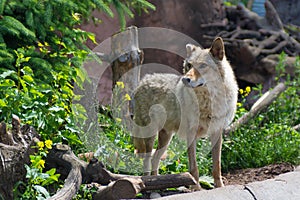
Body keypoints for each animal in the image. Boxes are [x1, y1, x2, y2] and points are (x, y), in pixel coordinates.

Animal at [132, 37, 238, 189]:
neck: (208, 102)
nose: (185, 79)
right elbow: (194, 167)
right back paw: (148, 182)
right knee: (147, 160)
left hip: (166, 138)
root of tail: (143, 81)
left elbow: (217, 166)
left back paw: (159, 182)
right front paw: (196, 188)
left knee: (155, 159)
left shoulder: (216, 132)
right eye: (189, 65)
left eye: (203, 66)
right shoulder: (191, 134)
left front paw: (219, 187)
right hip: (150, 135)